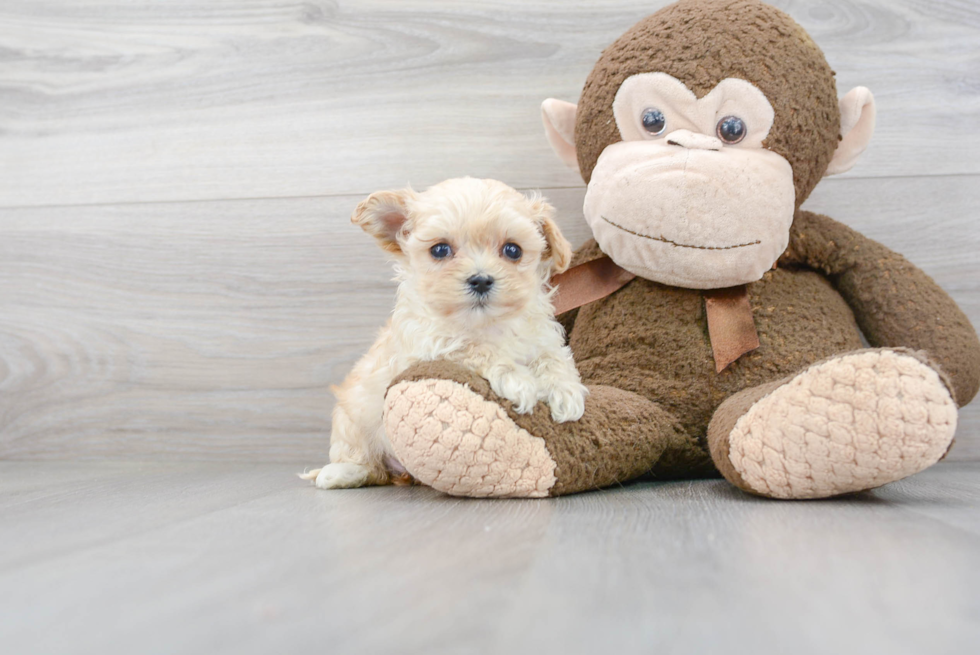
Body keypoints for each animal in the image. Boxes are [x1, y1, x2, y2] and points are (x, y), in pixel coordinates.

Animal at [302, 177, 584, 490]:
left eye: (513, 250)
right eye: (439, 250)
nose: (481, 280)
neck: (484, 323)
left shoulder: (542, 336)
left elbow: (553, 357)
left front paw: (566, 391)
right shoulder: (429, 345)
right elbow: (474, 348)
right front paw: (518, 380)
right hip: (352, 420)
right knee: (366, 463)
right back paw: (339, 473)